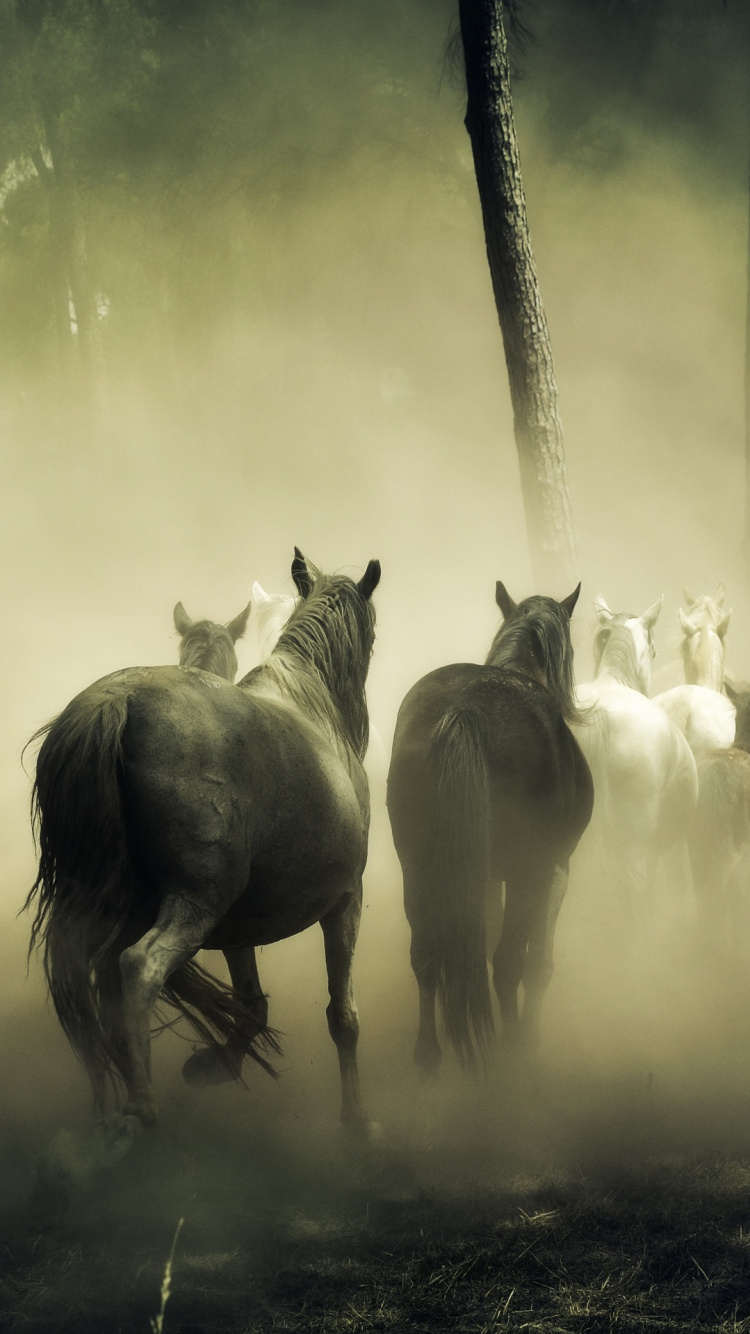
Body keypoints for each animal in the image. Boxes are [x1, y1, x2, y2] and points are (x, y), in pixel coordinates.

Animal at [26, 549, 381, 1136]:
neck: (313, 704)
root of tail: (115, 701)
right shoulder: (345, 901)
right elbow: (343, 1017)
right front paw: (358, 1124)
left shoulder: (240, 923)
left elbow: (252, 1004)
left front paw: (211, 1066)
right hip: (195, 904)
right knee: (136, 968)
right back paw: (141, 1107)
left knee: (82, 985)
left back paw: (105, 1110)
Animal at [386, 581, 593, 1071]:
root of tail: (468, 708)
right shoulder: (554, 870)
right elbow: (537, 964)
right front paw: (530, 1035)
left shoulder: (482, 876)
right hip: (524, 871)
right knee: (508, 963)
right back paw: (511, 1051)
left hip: (418, 865)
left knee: (426, 953)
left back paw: (429, 1052)